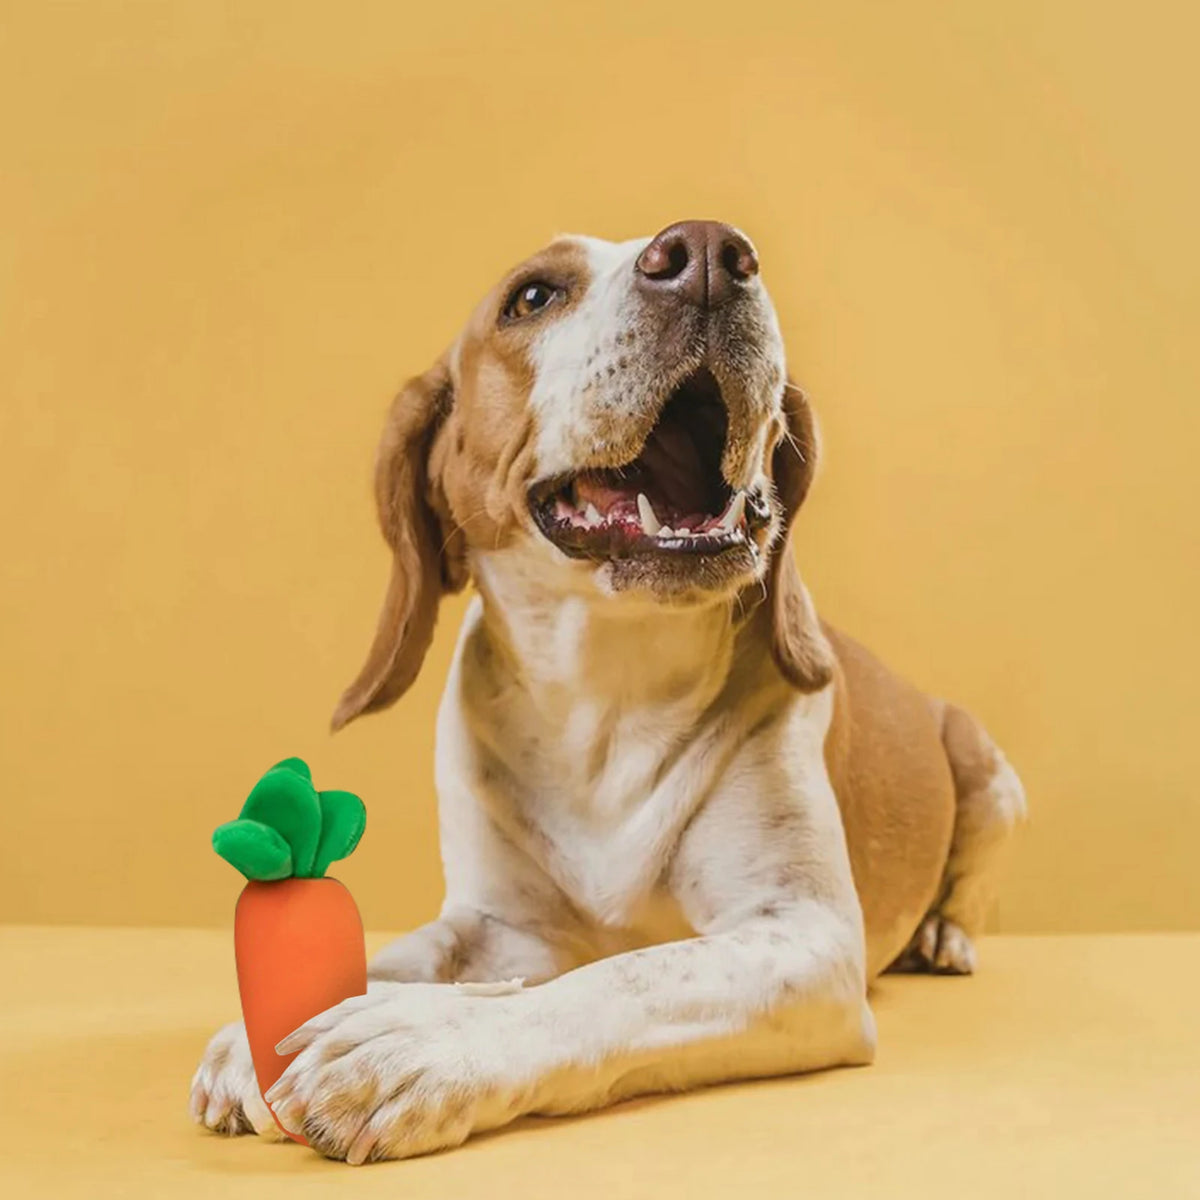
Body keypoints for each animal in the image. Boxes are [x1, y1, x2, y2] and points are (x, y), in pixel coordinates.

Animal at [192, 218, 1027, 1161]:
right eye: (532, 296)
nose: (710, 252)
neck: (606, 700)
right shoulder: (499, 926)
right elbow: (398, 954)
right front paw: (262, 1029)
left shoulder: (801, 937)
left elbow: (625, 976)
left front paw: (422, 1042)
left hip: (988, 773)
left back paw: (943, 934)